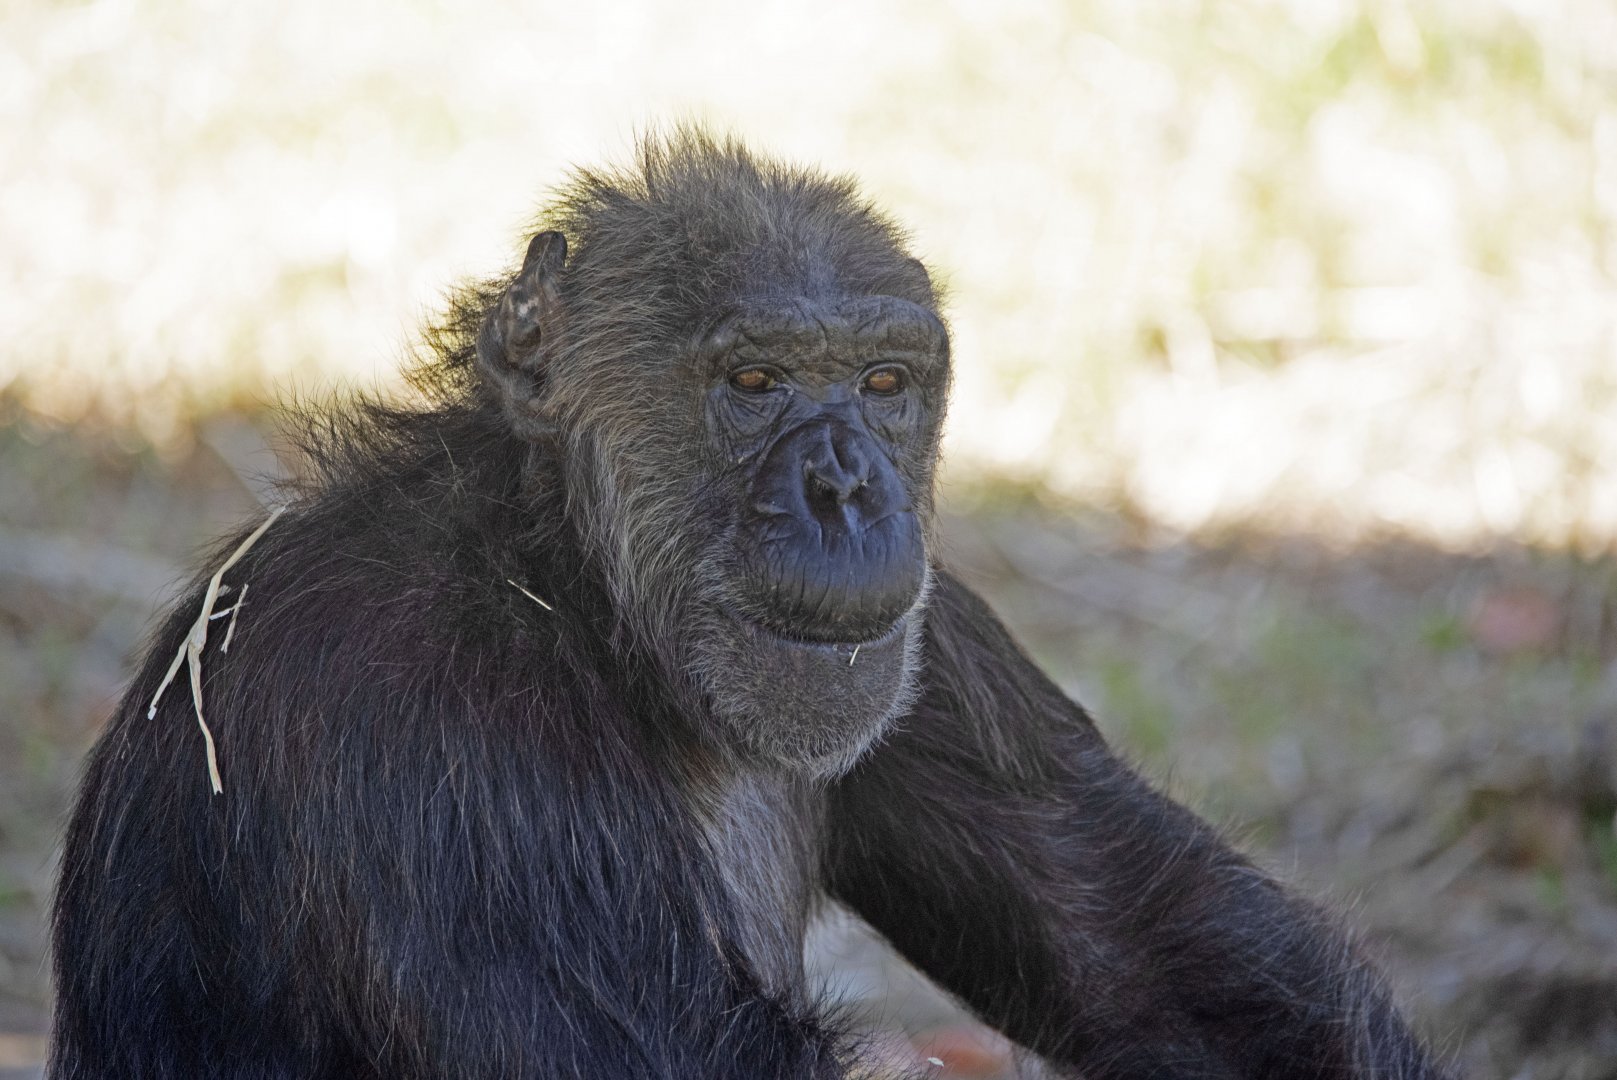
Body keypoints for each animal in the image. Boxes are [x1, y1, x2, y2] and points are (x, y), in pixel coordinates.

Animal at [50, 129, 1453, 1078]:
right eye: (756, 381)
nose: (844, 485)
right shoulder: (415, 722)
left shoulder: (935, 638)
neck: (581, 595)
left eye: (885, 381)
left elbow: (1141, 947)